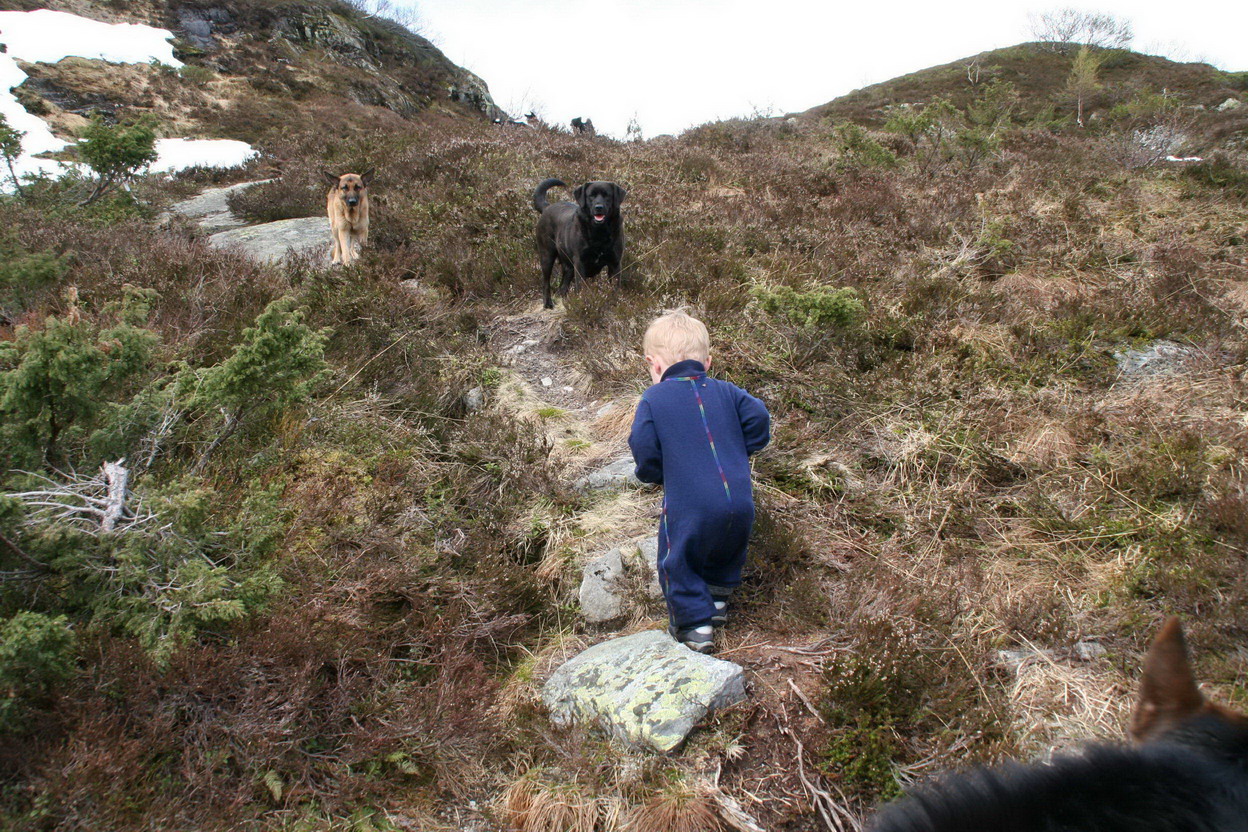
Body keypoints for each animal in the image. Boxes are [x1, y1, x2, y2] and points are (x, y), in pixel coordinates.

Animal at [532, 178, 626, 309]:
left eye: (607, 195)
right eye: (591, 195)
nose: (599, 207)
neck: (599, 232)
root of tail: (547, 207)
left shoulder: (615, 263)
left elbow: (615, 288)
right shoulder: (580, 263)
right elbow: (581, 288)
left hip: (569, 267)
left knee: (562, 287)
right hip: (547, 256)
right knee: (546, 282)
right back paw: (548, 303)